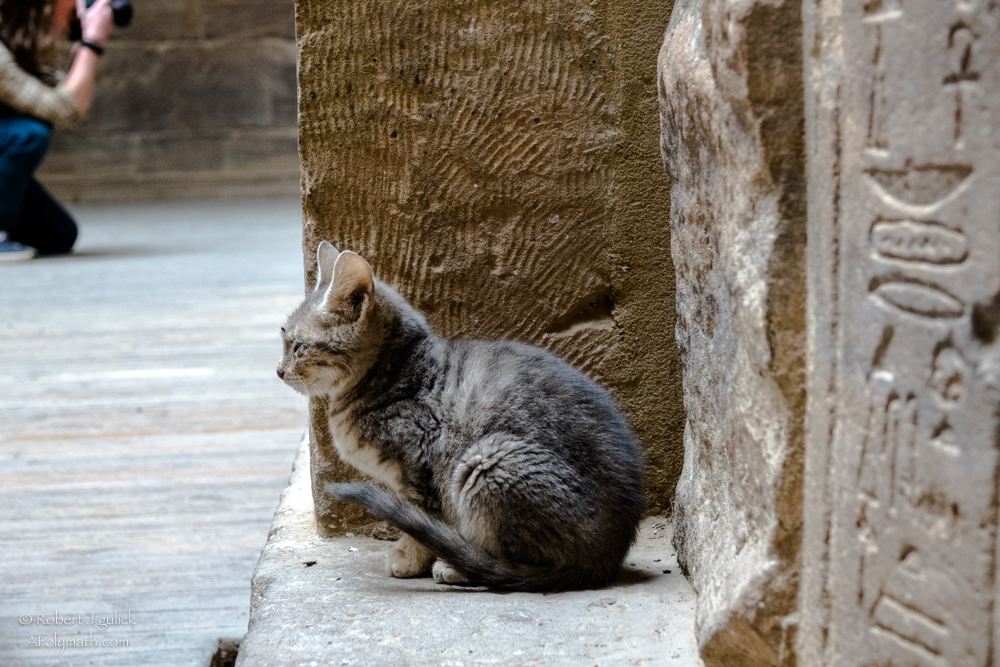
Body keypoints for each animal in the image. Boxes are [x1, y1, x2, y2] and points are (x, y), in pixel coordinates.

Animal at [277, 240, 645, 592]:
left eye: (298, 346)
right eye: (283, 336)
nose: (279, 371)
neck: (394, 374)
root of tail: (604, 559)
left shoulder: (418, 460)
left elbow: (417, 518)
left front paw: (409, 558)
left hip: (487, 461)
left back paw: (457, 567)